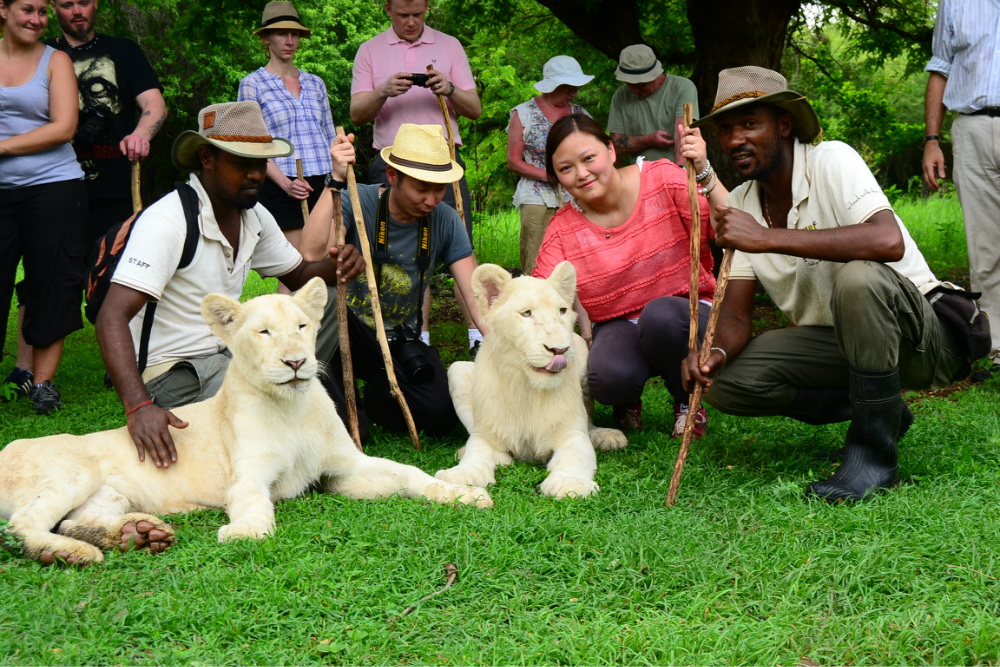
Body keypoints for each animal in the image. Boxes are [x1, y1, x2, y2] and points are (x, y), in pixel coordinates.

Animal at [0, 280, 492, 568]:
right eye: (264, 333)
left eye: (302, 326)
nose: (296, 362)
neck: (292, 410)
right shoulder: (249, 474)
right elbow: (253, 501)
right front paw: (248, 531)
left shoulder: (344, 471)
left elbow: (409, 473)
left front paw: (461, 493)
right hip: (71, 474)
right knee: (24, 524)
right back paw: (73, 555)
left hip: (108, 495)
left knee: (75, 521)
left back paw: (136, 536)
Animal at [436, 264, 624, 498]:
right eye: (526, 313)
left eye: (562, 311)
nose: (559, 350)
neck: (528, 389)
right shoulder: (486, 433)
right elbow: (476, 450)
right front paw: (464, 473)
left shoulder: (572, 434)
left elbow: (575, 456)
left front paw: (570, 483)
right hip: (456, 370)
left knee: (589, 422)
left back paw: (607, 436)